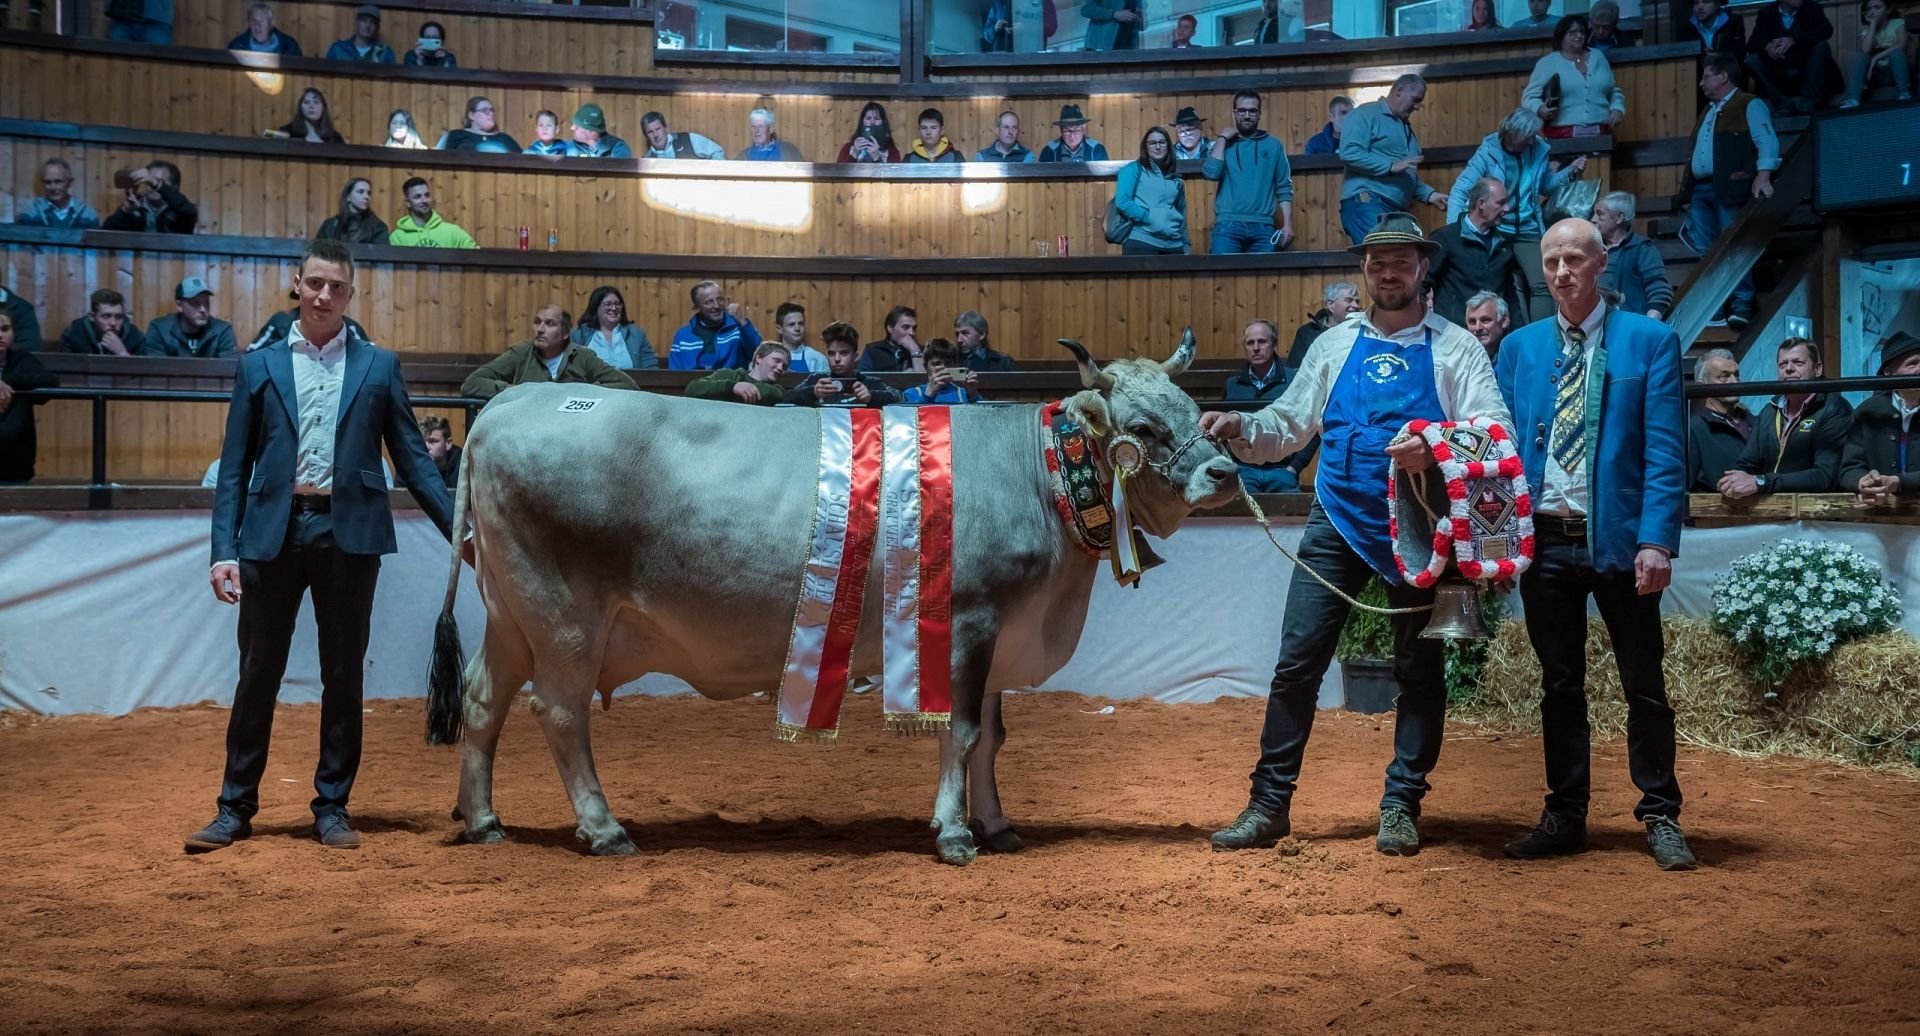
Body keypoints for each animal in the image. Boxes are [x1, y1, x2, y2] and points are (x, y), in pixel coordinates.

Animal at [426, 335, 1236, 863]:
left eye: (1193, 406)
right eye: (1141, 427)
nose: (1224, 472)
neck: (1040, 477)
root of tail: (507, 404)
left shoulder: (1003, 634)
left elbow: (992, 740)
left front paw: (998, 825)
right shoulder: (969, 620)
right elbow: (962, 732)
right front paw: (954, 835)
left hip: (511, 613)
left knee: (482, 699)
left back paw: (484, 819)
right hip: (564, 617)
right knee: (559, 712)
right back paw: (603, 829)